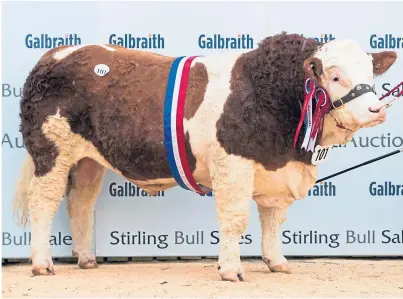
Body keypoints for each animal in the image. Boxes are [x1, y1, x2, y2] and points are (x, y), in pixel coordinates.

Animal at [12, 32, 398, 282]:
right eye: (335, 76)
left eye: (371, 73)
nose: (376, 110)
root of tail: (55, 54)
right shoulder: (234, 164)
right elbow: (236, 219)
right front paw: (231, 270)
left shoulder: (276, 168)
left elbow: (274, 220)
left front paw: (277, 262)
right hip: (51, 151)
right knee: (44, 202)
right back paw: (42, 264)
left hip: (89, 161)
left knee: (80, 202)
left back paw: (87, 260)